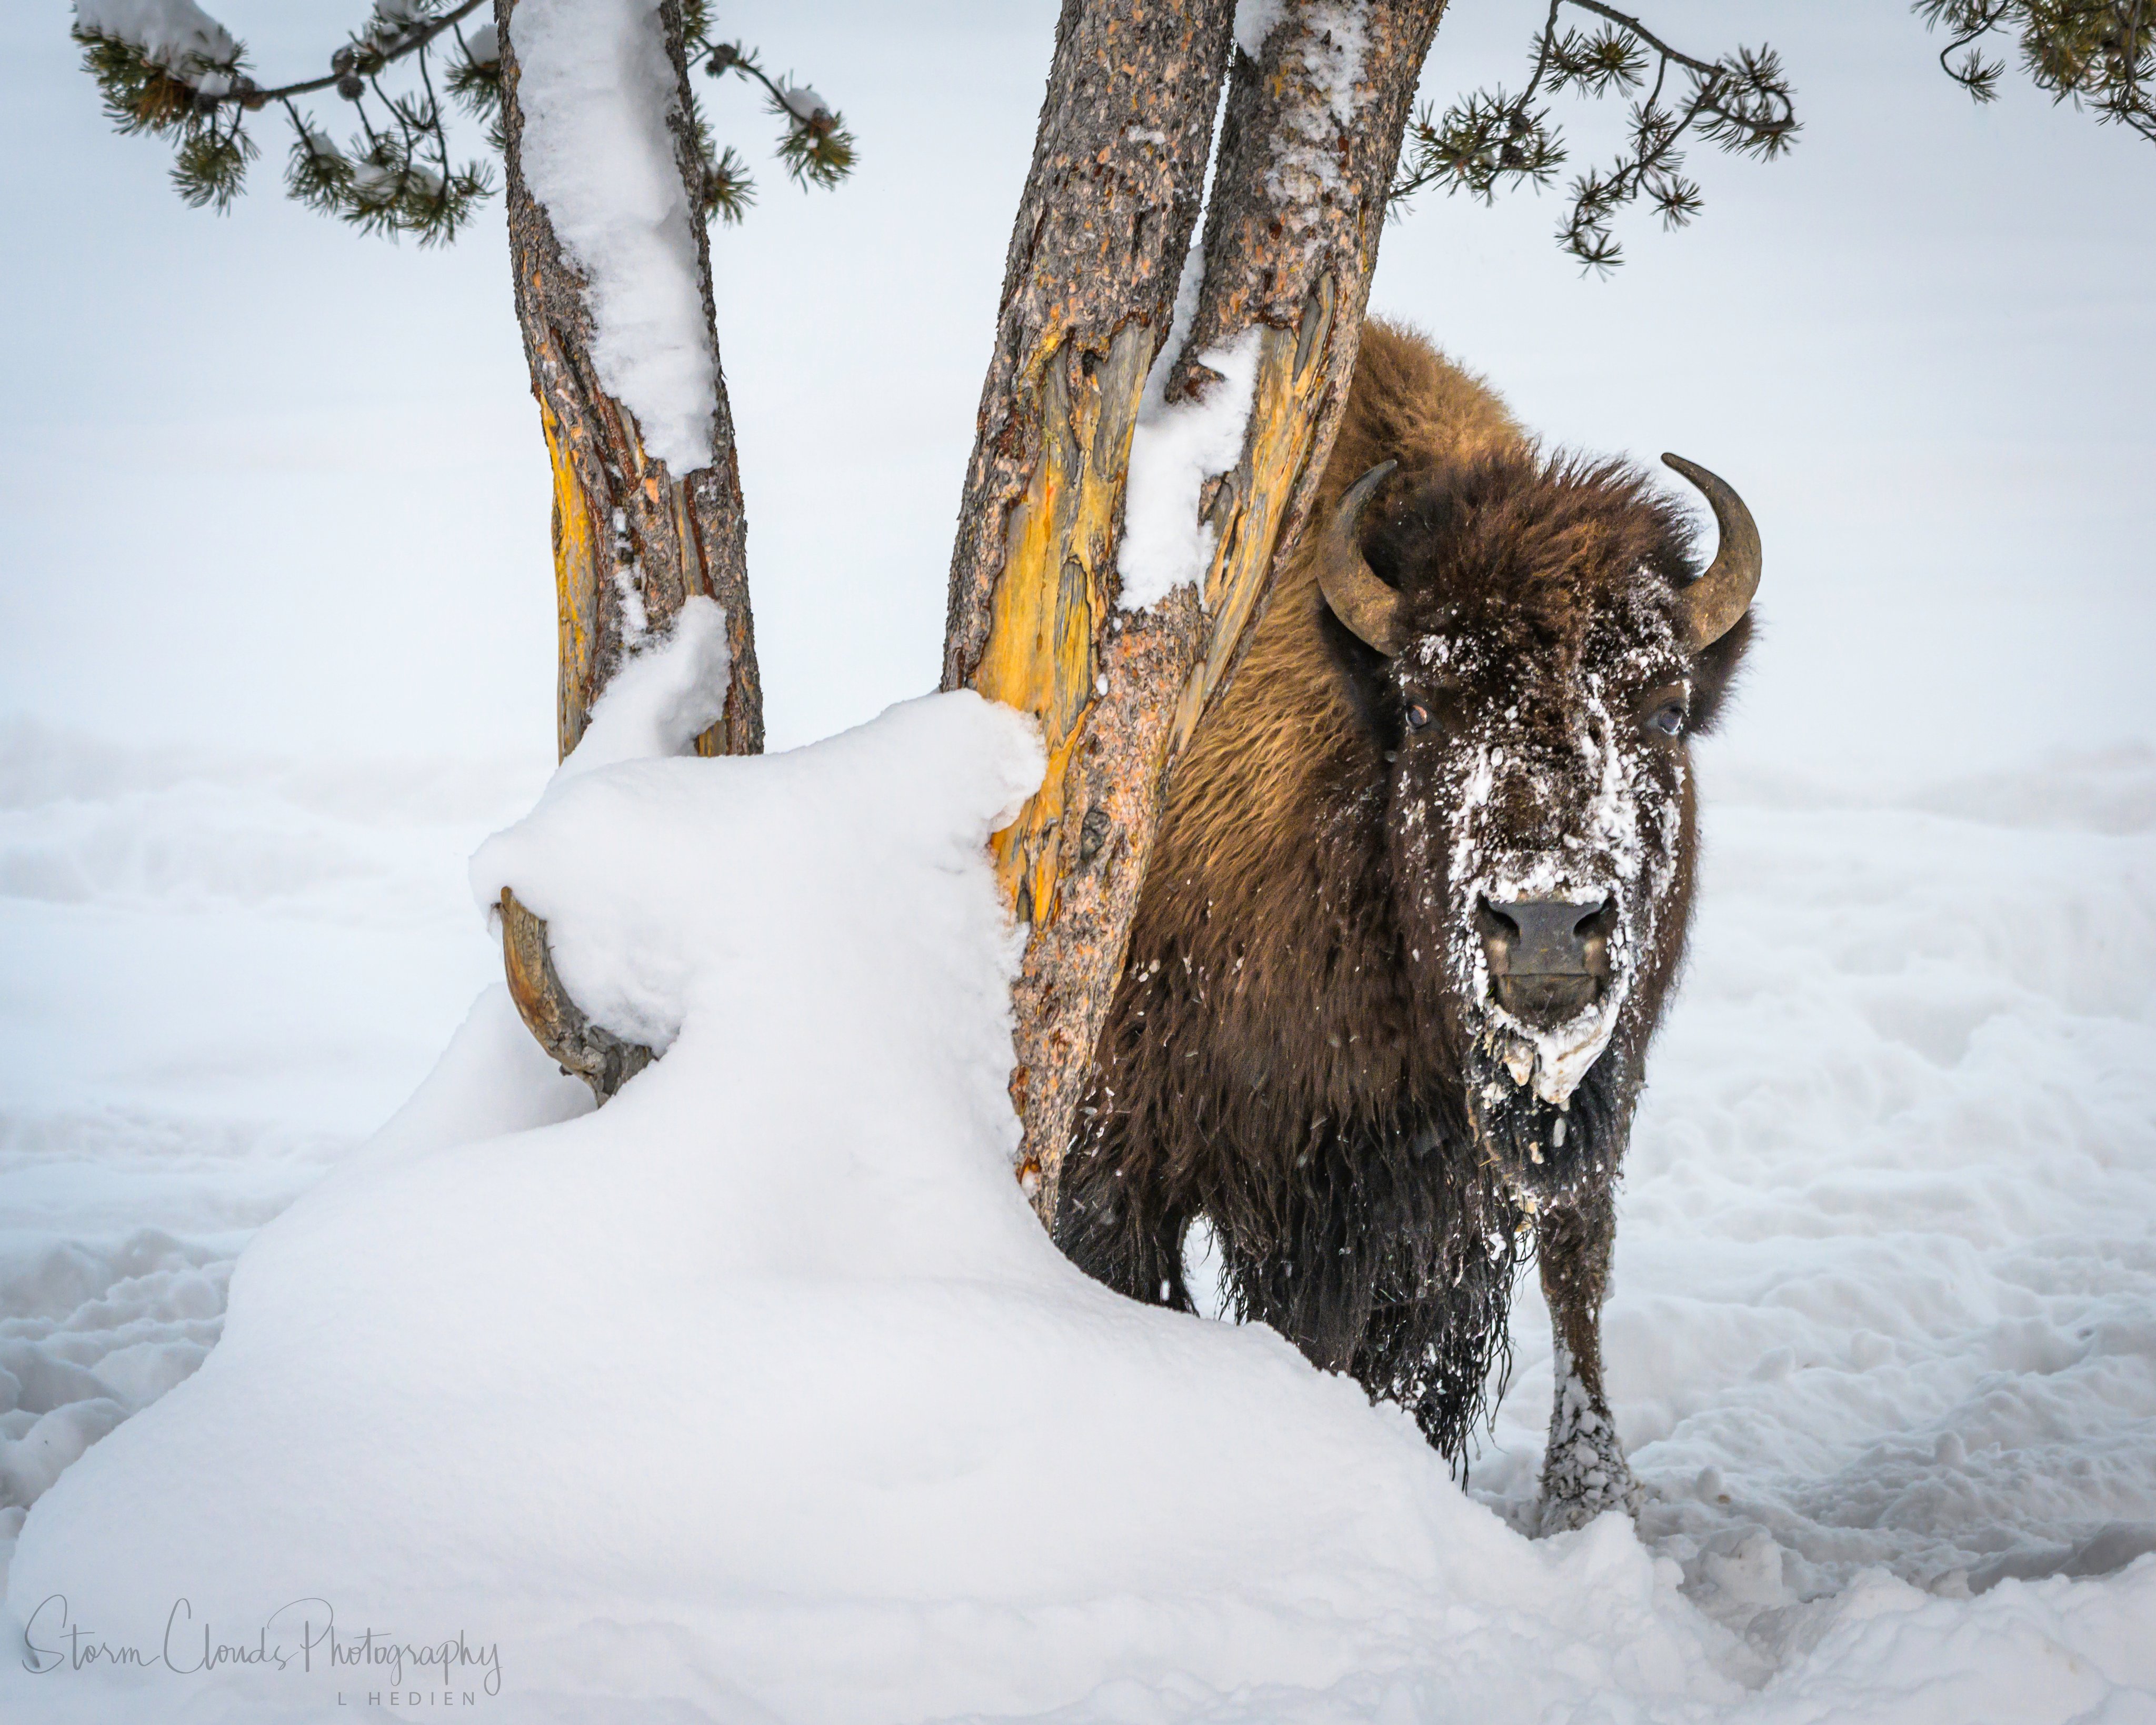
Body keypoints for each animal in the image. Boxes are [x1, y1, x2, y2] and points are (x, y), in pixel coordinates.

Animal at [1052, 317, 1759, 1527]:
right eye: (1426, 705)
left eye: (1665, 706)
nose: (1544, 924)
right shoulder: (1155, 1140)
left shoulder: (1451, 1189)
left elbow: (1474, 1313)